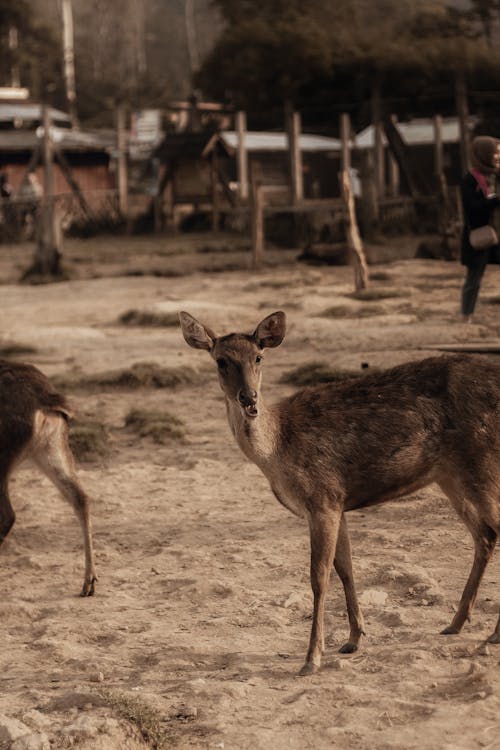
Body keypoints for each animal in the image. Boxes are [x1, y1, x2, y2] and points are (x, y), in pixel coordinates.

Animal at [180, 310, 500, 676]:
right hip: (450, 475)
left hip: (481, 460)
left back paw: (492, 634)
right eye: (221, 360)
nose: (249, 398)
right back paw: (455, 623)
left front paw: (311, 658)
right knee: (485, 535)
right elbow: (346, 568)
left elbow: (318, 577)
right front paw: (354, 639)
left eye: (258, 356)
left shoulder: (322, 498)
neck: (276, 451)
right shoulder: (338, 502)